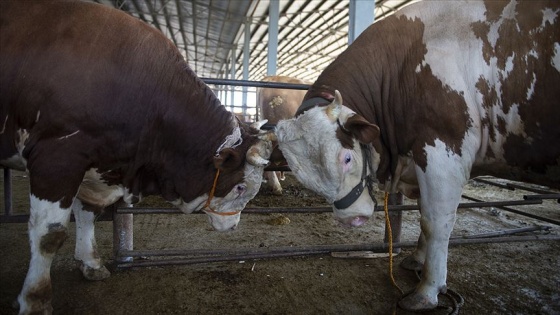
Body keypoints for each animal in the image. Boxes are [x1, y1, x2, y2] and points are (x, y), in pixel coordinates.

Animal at [0, 1, 272, 314]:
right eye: (240, 186)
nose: (234, 225)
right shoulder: (57, 157)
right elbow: (49, 234)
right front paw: (35, 298)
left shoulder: (98, 165)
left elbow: (88, 214)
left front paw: (91, 262)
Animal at [268, 0, 560, 312]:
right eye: (308, 180)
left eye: (347, 158)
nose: (353, 219)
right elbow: (422, 217)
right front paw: (417, 260)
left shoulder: (442, 154)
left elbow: (435, 222)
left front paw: (427, 290)